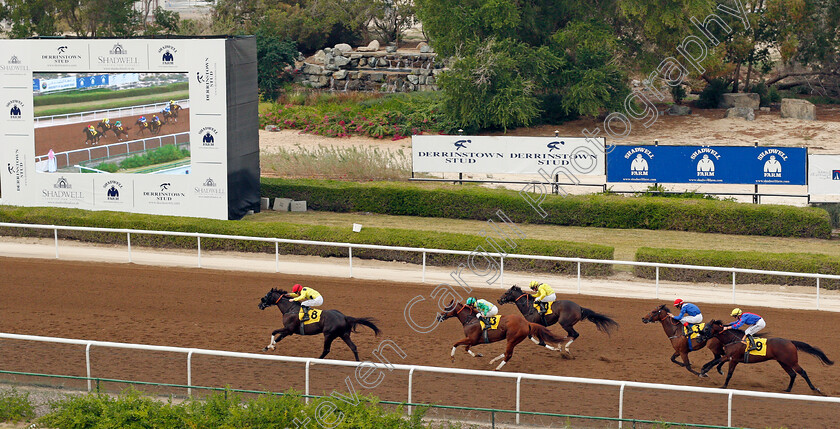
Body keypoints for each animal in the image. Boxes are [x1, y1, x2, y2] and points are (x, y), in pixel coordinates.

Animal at [436, 300, 568, 370]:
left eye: (446, 308)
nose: (438, 317)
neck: (470, 319)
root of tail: (526, 322)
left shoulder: (472, 339)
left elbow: (457, 344)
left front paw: (452, 358)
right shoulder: (473, 341)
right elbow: (466, 348)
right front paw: (478, 354)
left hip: (512, 339)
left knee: (508, 355)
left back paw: (497, 368)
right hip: (514, 340)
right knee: (507, 353)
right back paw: (493, 361)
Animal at [704, 318, 832, 394]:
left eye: (706, 328)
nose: (701, 337)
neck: (733, 339)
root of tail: (791, 342)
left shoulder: (733, 359)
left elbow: (726, 371)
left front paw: (722, 385)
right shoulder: (730, 357)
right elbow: (718, 362)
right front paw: (711, 371)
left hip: (792, 362)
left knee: (802, 373)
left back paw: (815, 389)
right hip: (783, 362)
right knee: (793, 374)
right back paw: (788, 389)